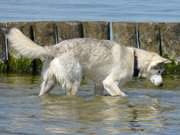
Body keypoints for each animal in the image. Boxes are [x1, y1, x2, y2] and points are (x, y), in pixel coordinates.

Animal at [3, 28, 170, 96]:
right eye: (159, 71)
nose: (162, 85)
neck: (135, 59)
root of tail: (55, 48)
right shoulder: (110, 82)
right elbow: (122, 95)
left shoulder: (100, 85)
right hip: (74, 82)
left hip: (49, 83)